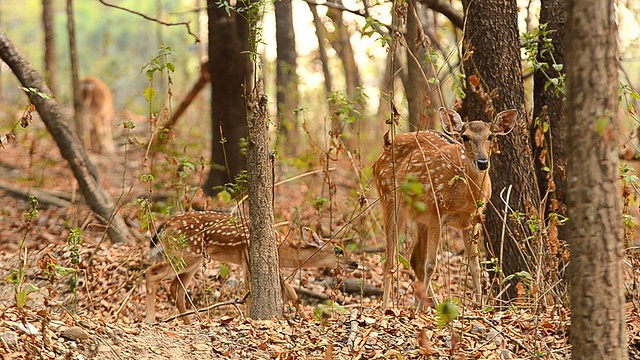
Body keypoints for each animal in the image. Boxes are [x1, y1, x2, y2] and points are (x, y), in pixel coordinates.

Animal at [145, 211, 358, 324]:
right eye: (339, 250)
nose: (355, 263)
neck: (283, 248)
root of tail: (166, 224)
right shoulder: (247, 257)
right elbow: (251, 290)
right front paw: (249, 319)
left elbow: (290, 291)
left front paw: (306, 319)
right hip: (185, 254)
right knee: (151, 273)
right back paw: (151, 319)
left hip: (193, 260)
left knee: (176, 288)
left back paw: (193, 321)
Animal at [372, 107, 516, 310]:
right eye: (465, 136)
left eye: (491, 136)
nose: (482, 162)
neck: (465, 198)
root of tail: (379, 158)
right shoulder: (436, 211)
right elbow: (431, 264)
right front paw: (418, 311)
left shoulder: (474, 219)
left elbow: (474, 265)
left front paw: (480, 307)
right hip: (389, 199)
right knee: (390, 261)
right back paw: (387, 308)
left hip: (419, 217)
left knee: (415, 259)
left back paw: (434, 304)